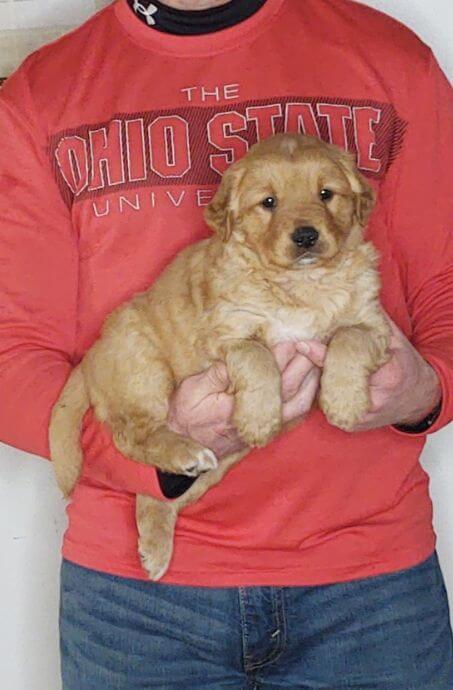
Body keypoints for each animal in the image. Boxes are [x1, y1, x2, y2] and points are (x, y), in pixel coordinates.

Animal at [48, 132, 388, 576]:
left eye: (326, 194)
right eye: (269, 202)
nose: (306, 237)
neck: (302, 284)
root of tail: (91, 357)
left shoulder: (377, 326)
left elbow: (349, 336)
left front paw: (343, 403)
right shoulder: (225, 335)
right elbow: (258, 357)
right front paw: (261, 417)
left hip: (220, 463)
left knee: (156, 492)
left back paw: (155, 545)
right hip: (143, 367)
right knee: (132, 437)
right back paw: (185, 452)